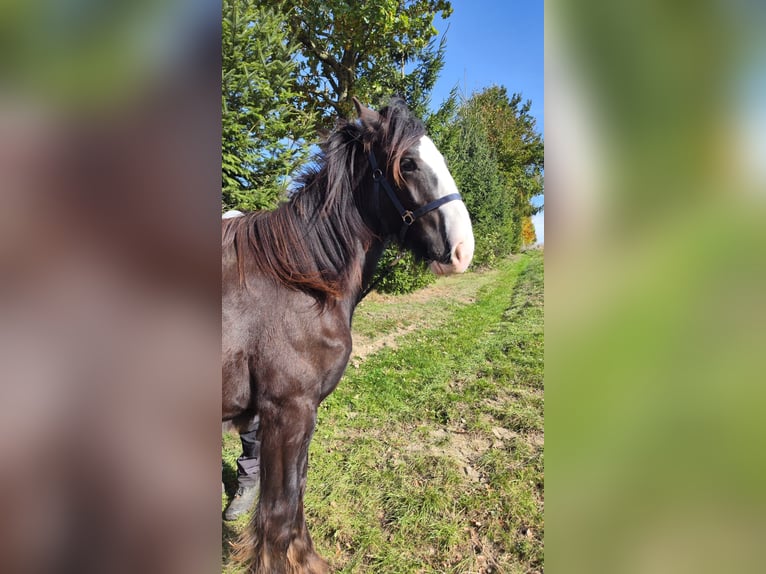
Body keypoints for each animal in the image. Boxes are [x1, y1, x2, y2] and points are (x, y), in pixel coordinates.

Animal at [222, 97, 474, 573]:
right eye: (407, 163)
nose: (462, 250)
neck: (301, 283)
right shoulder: (287, 410)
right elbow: (280, 510)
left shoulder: (301, 415)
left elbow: (297, 495)